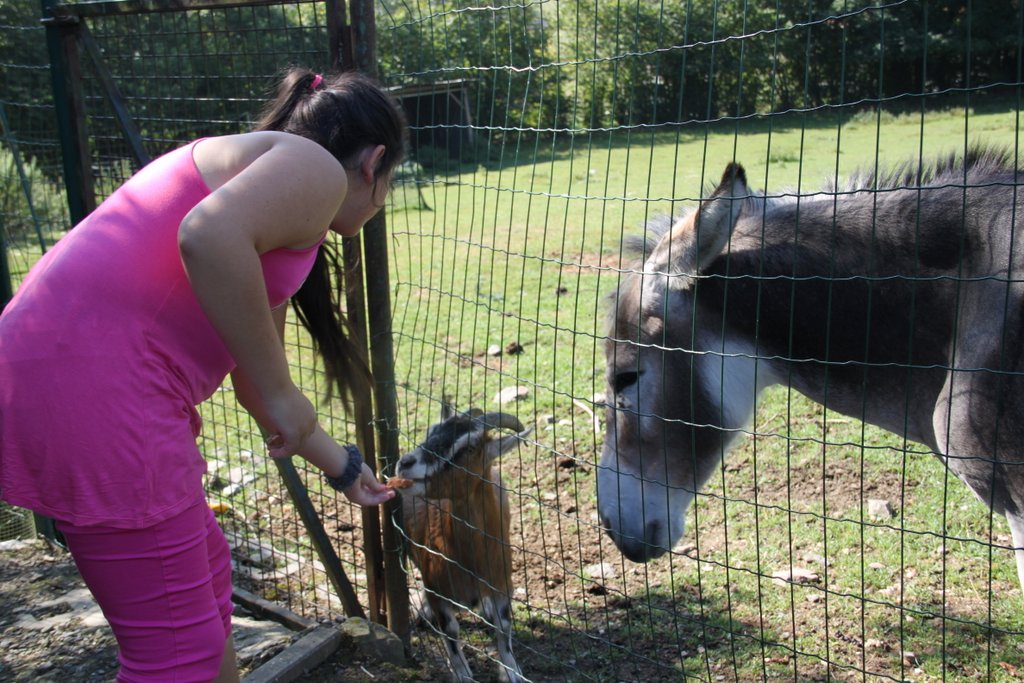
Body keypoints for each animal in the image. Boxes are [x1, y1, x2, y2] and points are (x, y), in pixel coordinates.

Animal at [395, 409, 532, 679]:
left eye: (469, 447)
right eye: (431, 431)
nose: (405, 463)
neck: (470, 562)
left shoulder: (502, 586)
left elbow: (503, 627)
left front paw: (512, 672)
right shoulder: (438, 592)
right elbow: (451, 633)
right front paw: (462, 674)